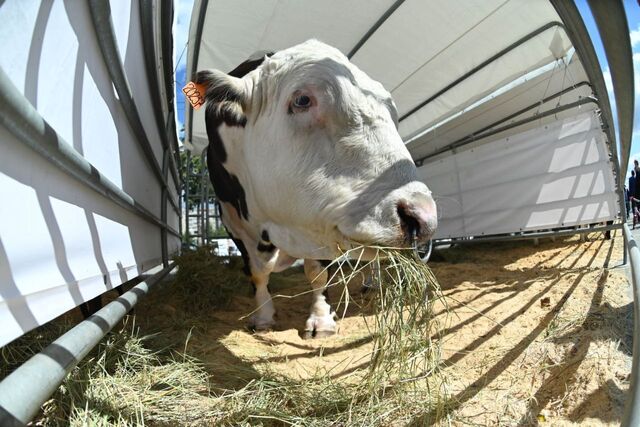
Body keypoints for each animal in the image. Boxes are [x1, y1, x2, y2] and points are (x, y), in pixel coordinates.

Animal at [192, 41, 438, 342]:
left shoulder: (319, 220)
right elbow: (257, 273)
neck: (274, 227)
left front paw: (321, 320)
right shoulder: (231, 219)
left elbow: (318, 271)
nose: (422, 218)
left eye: (393, 115)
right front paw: (263, 317)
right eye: (302, 101)